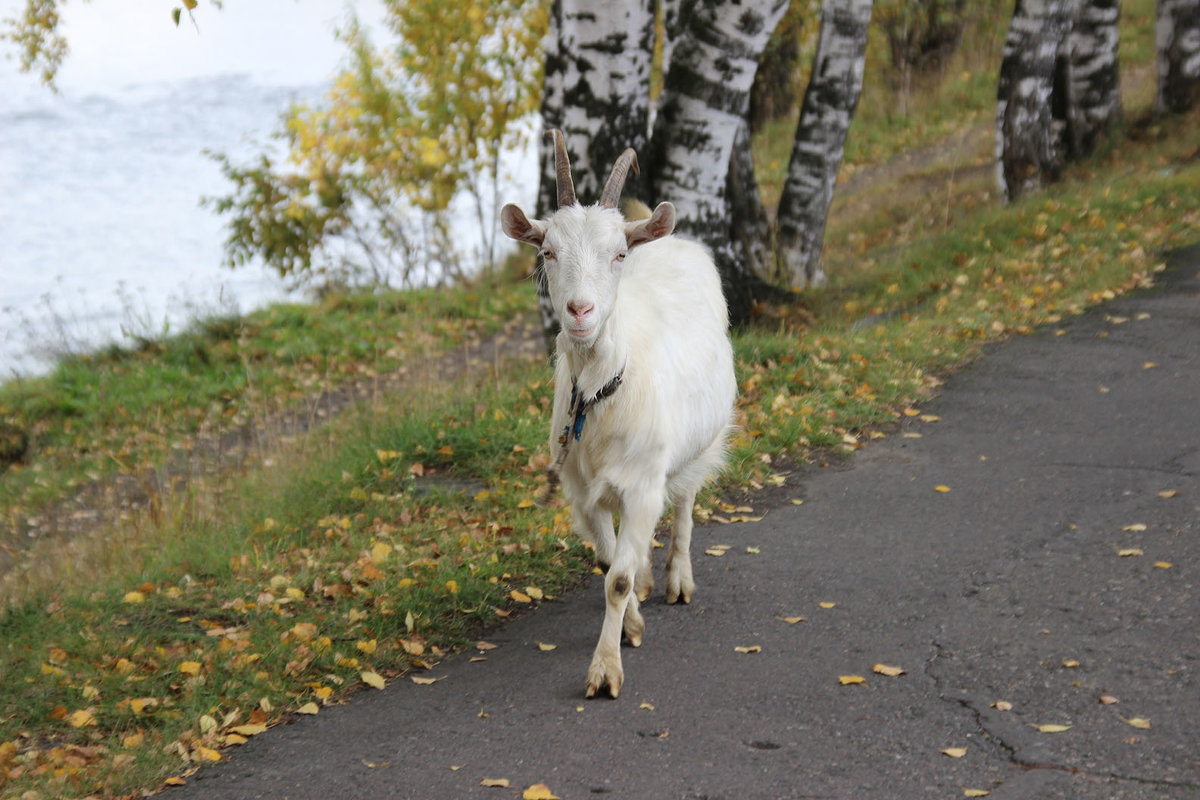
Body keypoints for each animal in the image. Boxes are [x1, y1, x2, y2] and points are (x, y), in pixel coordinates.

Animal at [501, 128, 734, 695]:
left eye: (619, 253)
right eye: (548, 250)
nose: (580, 311)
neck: (598, 398)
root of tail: (660, 231)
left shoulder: (644, 480)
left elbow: (618, 579)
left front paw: (606, 668)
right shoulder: (581, 491)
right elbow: (608, 562)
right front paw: (630, 625)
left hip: (695, 448)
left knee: (685, 502)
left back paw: (676, 579)